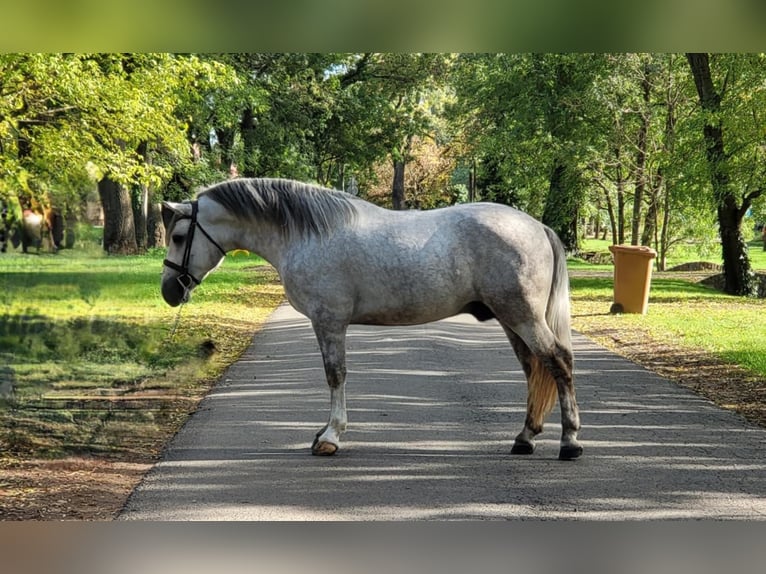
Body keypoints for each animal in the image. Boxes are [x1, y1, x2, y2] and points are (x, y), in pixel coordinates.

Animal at [162, 178, 584, 462]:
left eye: (180, 236)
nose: (169, 291)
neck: (307, 235)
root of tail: (537, 226)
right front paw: (325, 432)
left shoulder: (329, 321)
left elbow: (335, 375)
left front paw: (330, 437)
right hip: (511, 319)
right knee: (533, 368)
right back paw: (525, 437)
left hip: (522, 316)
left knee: (558, 361)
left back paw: (570, 442)